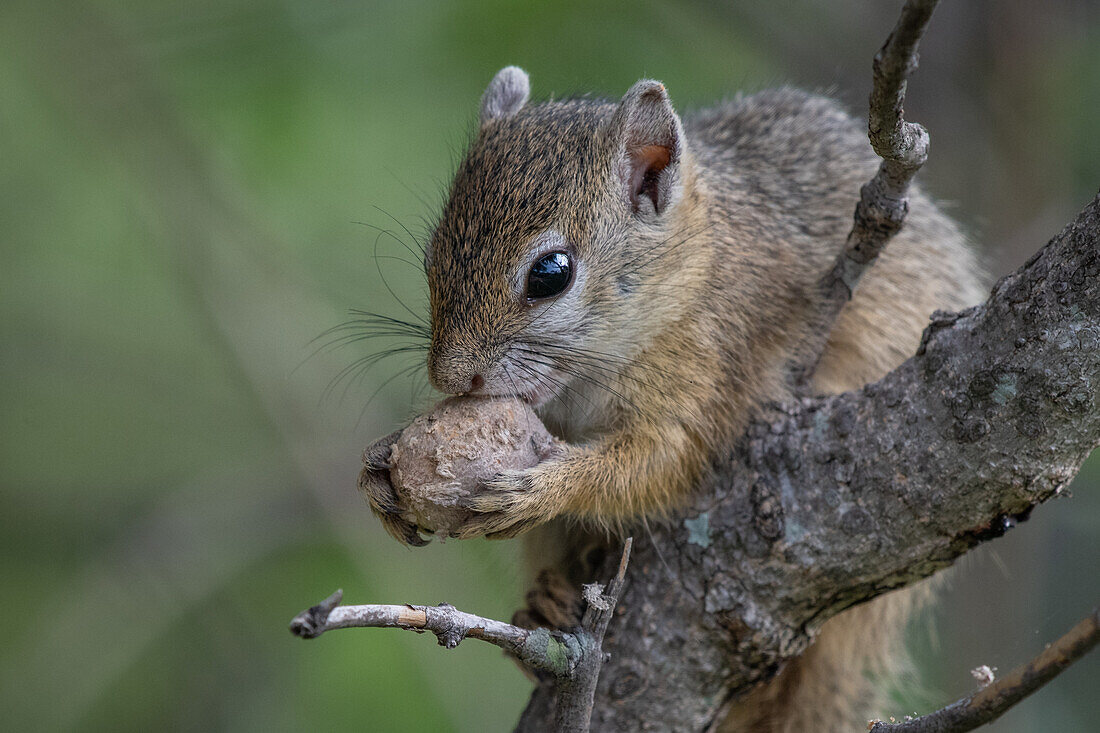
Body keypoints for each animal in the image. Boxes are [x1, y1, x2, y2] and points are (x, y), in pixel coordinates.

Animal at [360, 65, 990, 726]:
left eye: (551, 273)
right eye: (433, 255)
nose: (453, 378)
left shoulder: (716, 370)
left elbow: (663, 463)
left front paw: (545, 488)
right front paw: (380, 466)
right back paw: (546, 602)